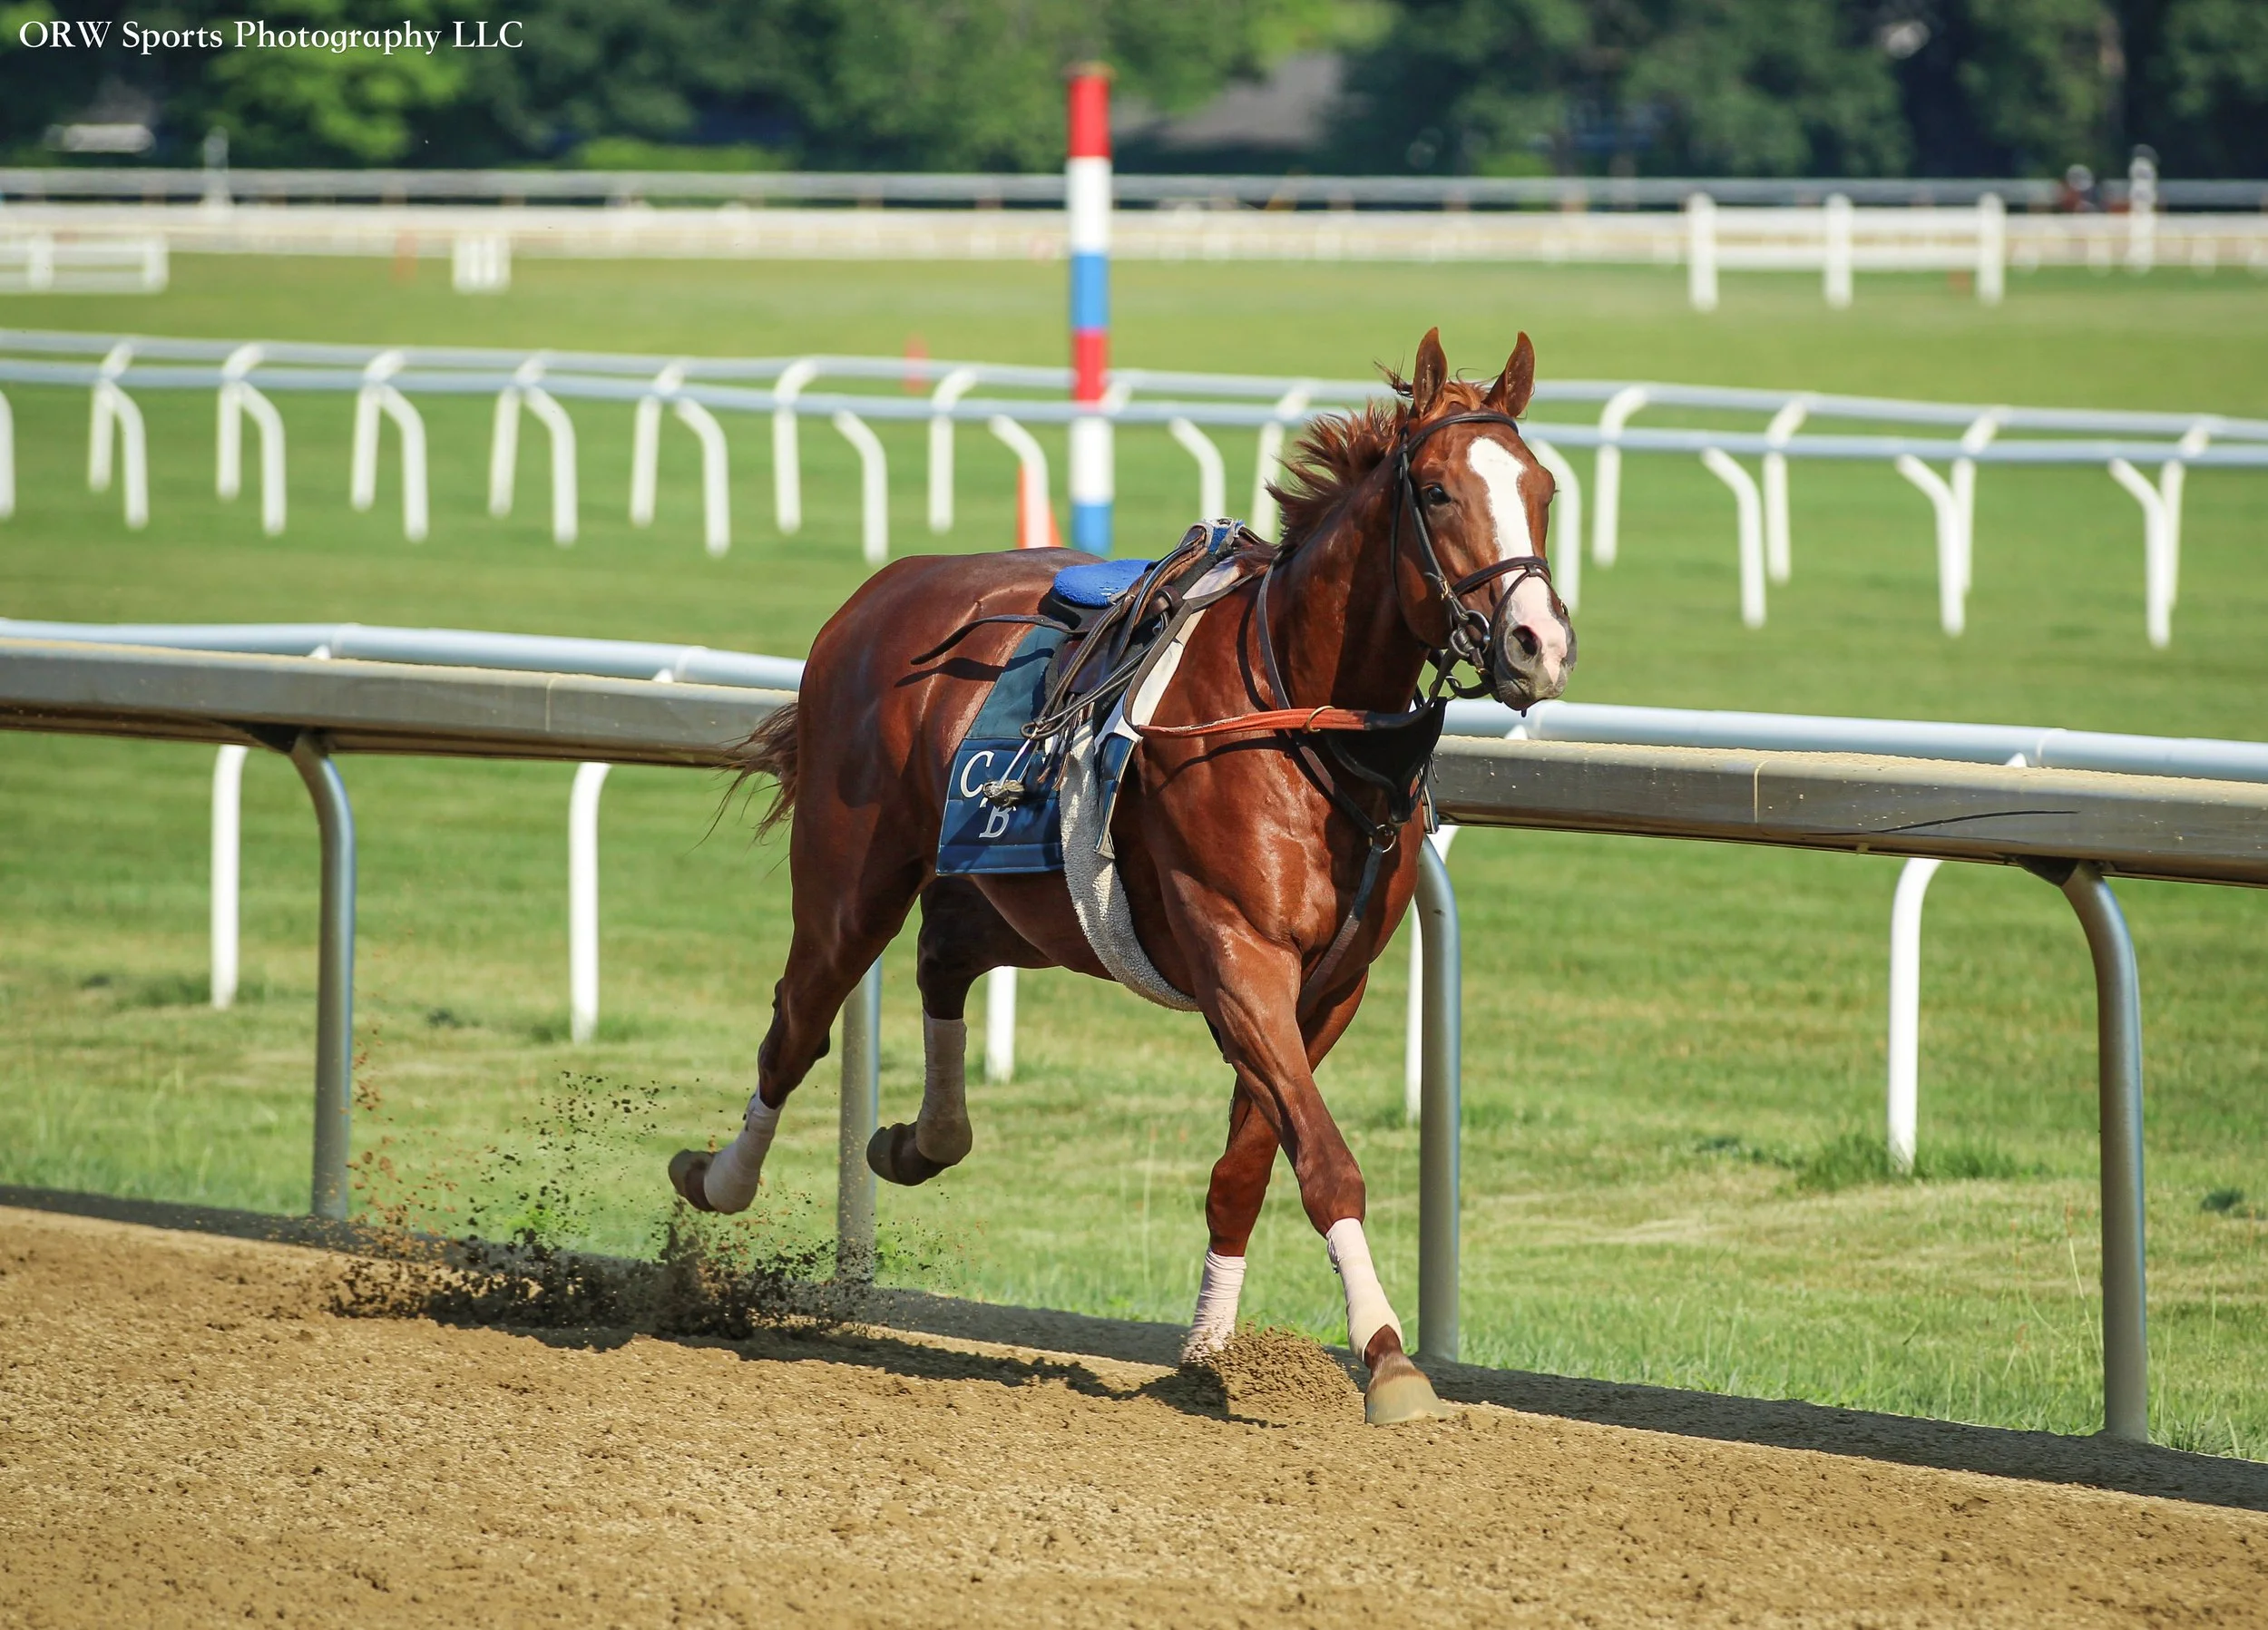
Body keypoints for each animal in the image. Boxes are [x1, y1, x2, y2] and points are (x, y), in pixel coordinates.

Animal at [671, 328, 1574, 1423]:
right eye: (1438, 492)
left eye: (1542, 488)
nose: (1539, 643)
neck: (1304, 718)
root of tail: (876, 593)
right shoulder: (1238, 956)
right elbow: (1324, 1160)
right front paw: (1389, 1357)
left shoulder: (1331, 985)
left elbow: (1248, 1165)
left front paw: (1211, 1350)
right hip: (853, 879)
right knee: (797, 1023)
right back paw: (719, 1179)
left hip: (1039, 905)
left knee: (943, 954)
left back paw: (922, 1138)